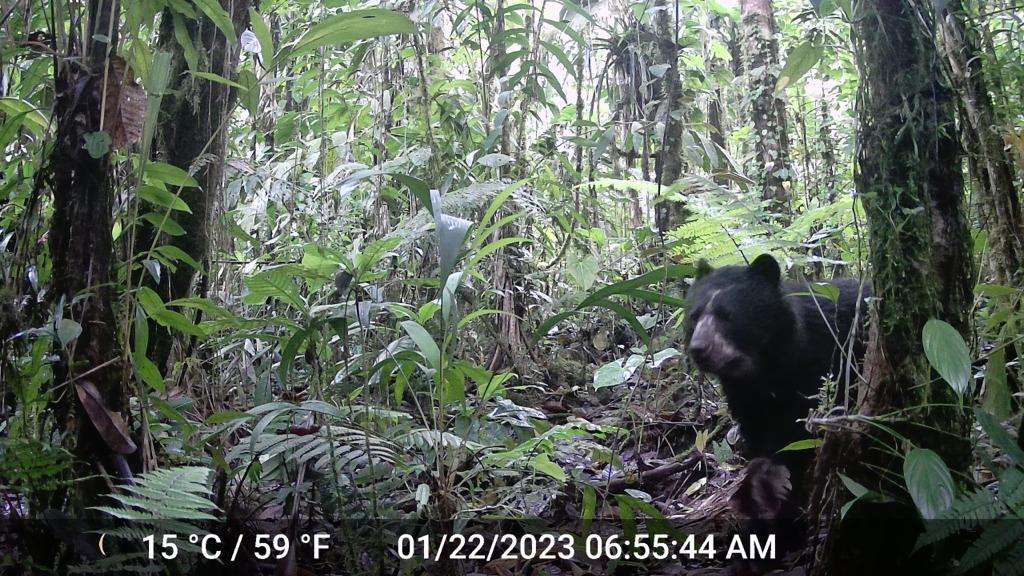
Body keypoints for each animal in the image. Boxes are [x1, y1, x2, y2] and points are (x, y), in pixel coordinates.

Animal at [683, 254, 870, 570]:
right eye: (694, 316)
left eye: (727, 315)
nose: (699, 349)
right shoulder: (746, 399)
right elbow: (760, 439)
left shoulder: (817, 370)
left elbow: (796, 441)